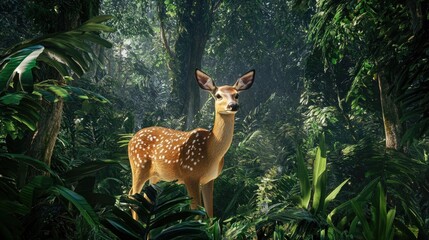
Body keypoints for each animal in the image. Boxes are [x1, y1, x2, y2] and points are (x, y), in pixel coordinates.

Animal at [127, 68, 254, 218]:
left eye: (236, 95)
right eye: (218, 96)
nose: (233, 105)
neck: (211, 151)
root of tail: (131, 139)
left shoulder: (209, 179)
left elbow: (210, 212)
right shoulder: (190, 175)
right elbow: (196, 212)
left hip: (156, 176)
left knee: (146, 198)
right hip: (139, 166)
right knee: (133, 195)